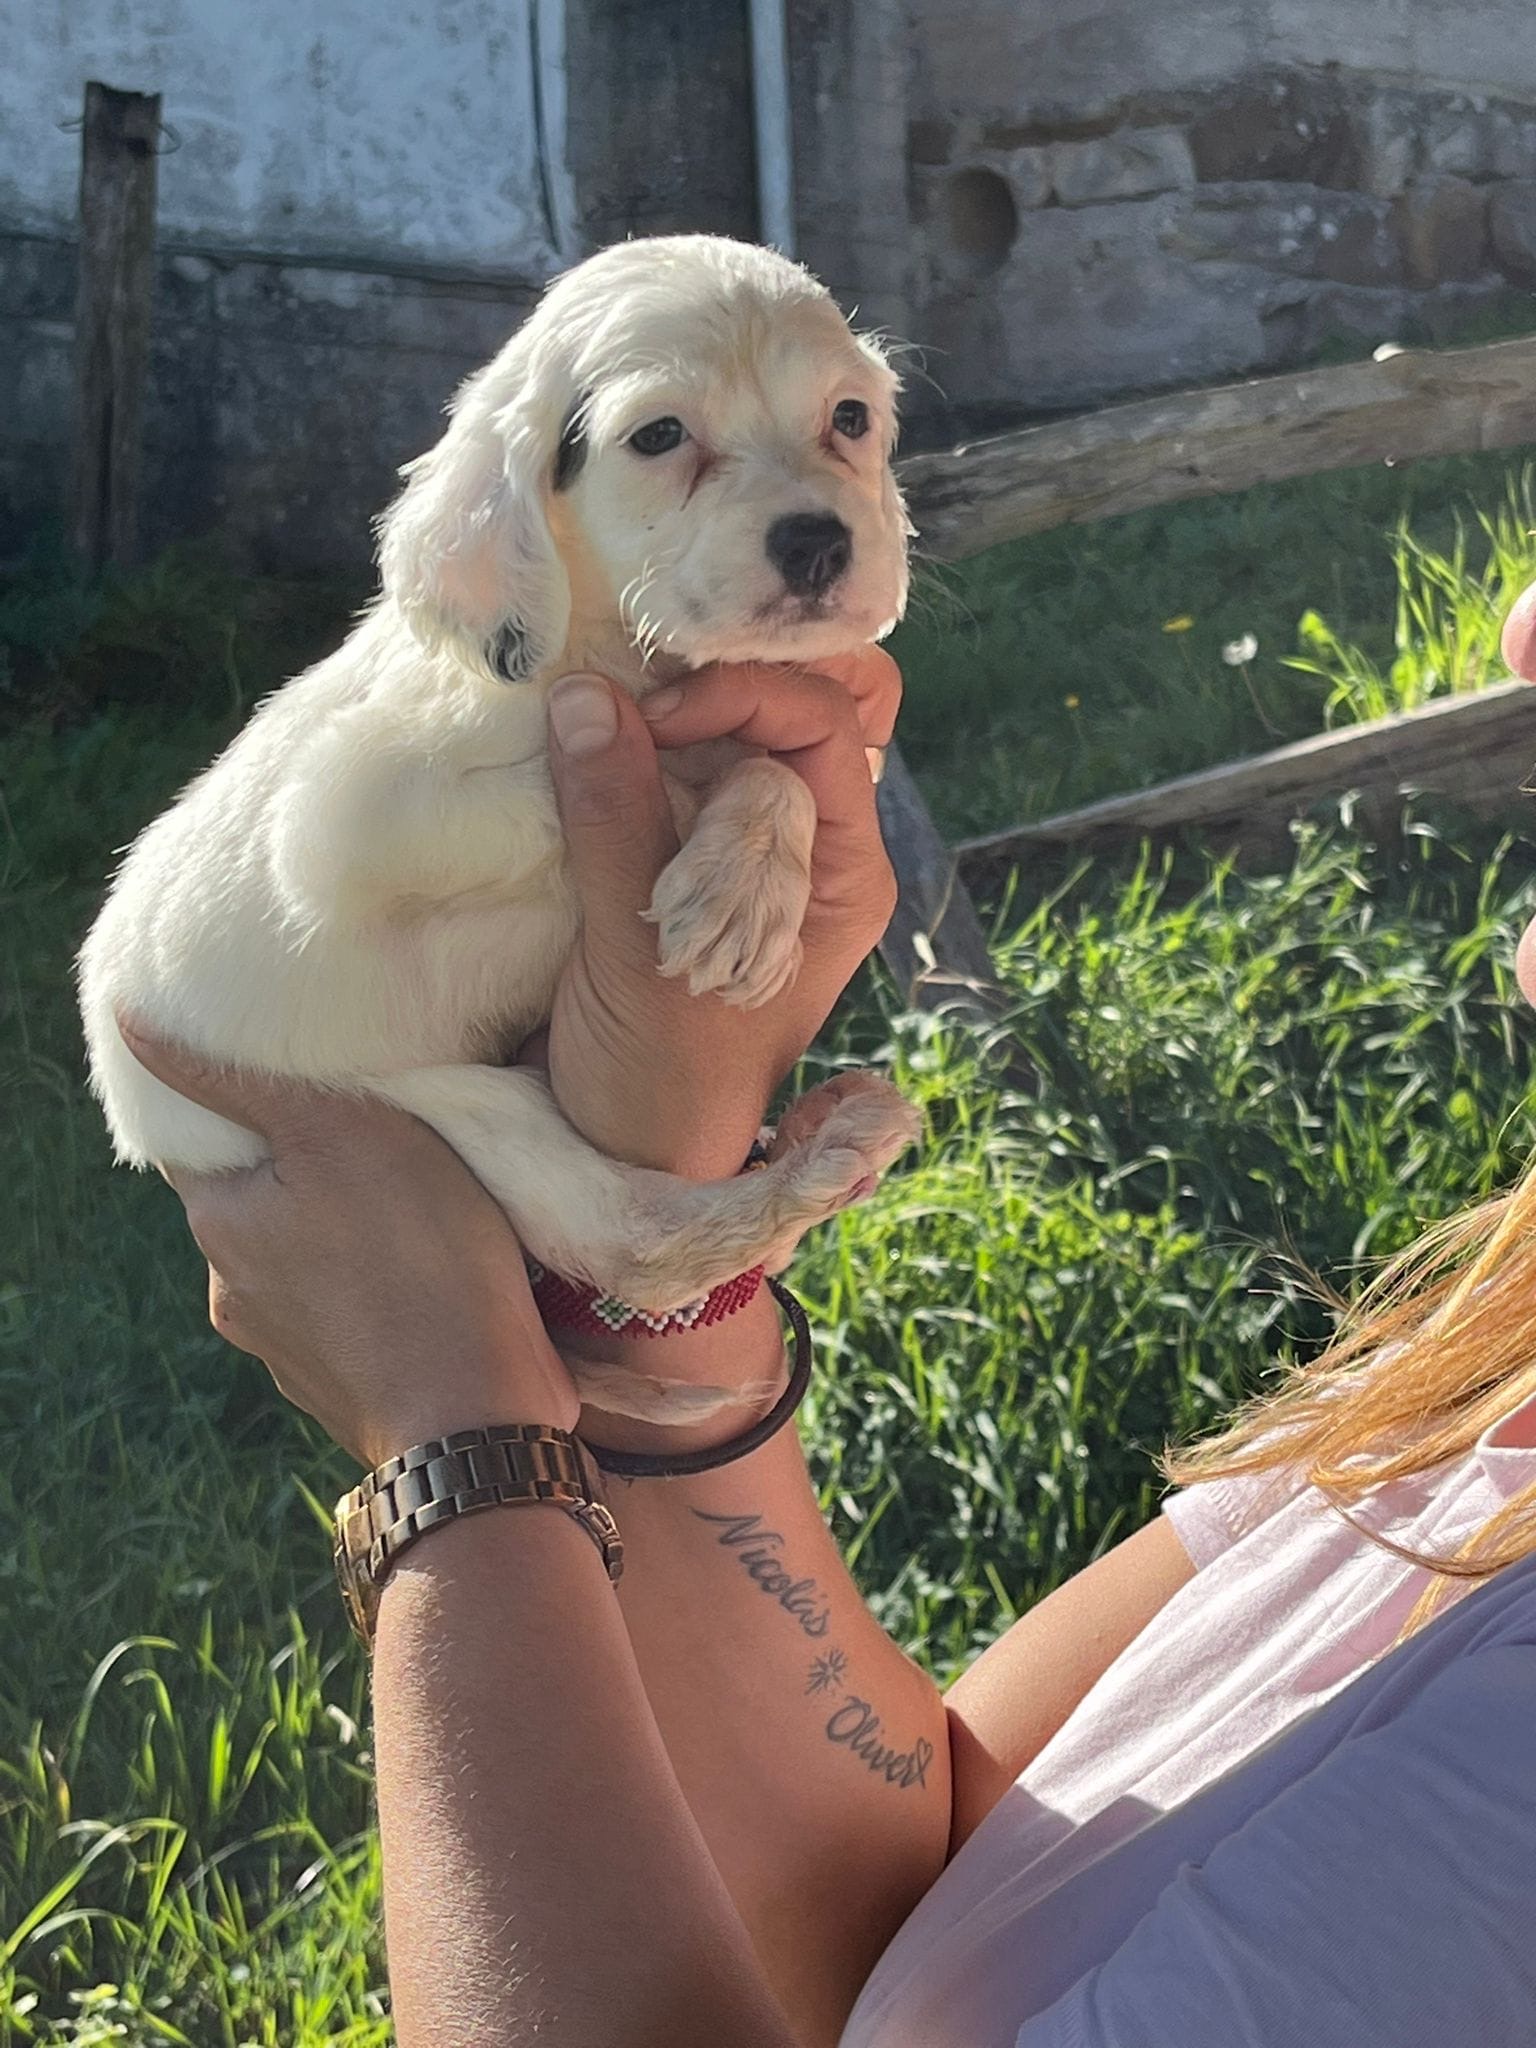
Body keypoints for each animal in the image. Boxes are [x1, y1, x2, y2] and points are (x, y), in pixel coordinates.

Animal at [77, 235, 920, 1415]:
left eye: (849, 417)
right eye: (658, 435)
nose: (819, 543)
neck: (611, 651)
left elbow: (783, 761)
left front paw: (752, 873)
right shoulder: (350, 815)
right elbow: (666, 760)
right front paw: (735, 877)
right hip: (435, 1104)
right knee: (630, 1241)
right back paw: (821, 1159)